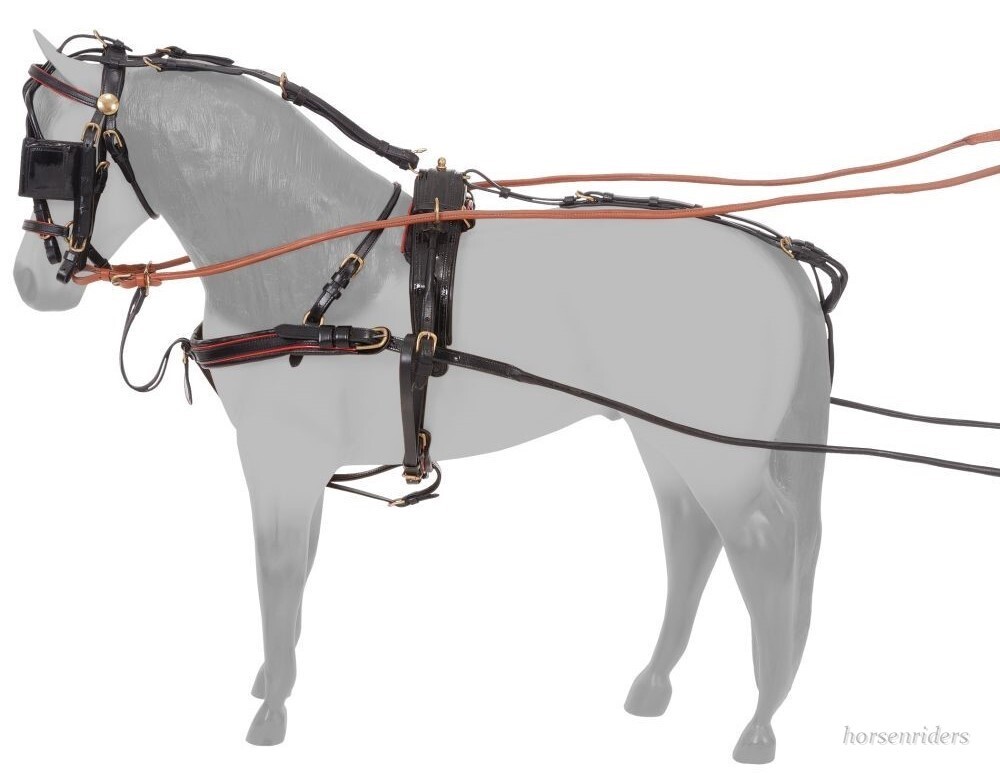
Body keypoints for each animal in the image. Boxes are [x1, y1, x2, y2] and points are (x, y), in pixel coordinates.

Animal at [13, 31, 829, 762]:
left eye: (53, 160)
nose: (30, 282)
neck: (315, 257)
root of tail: (777, 258)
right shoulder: (298, 462)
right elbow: (301, 562)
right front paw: (275, 677)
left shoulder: (279, 454)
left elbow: (278, 570)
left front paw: (272, 710)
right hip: (665, 438)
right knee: (692, 538)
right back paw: (656, 682)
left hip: (718, 455)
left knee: (764, 546)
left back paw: (760, 722)